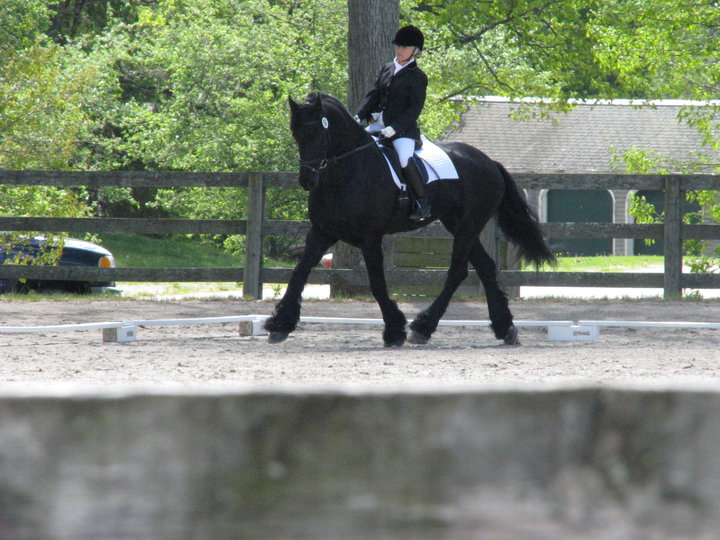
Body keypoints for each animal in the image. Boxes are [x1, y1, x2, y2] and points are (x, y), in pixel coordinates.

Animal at [264, 92, 556, 346]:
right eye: (295, 134)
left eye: (315, 133)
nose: (307, 180)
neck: (347, 172)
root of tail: (489, 161)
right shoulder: (321, 232)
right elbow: (298, 273)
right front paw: (280, 324)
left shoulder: (370, 238)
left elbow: (377, 283)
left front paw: (394, 330)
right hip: (457, 224)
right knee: (484, 267)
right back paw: (504, 328)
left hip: (469, 225)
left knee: (458, 271)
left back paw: (423, 327)